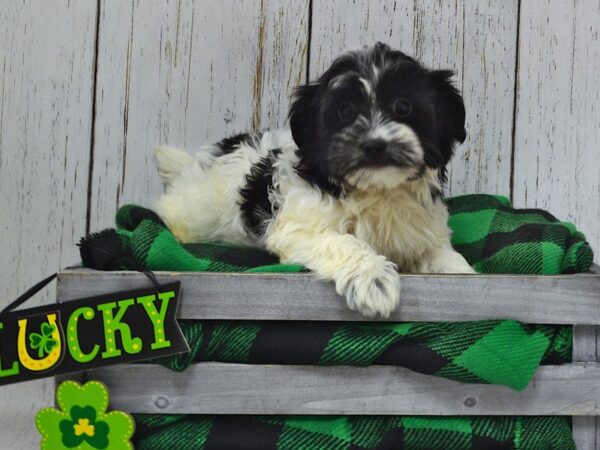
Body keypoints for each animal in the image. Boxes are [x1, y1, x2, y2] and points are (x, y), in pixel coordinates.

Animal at [154, 42, 474, 316]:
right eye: (345, 111)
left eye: (403, 107)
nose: (375, 144)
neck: (378, 190)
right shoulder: (298, 227)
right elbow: (343, 241)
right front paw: (374, 280)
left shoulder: (423, 231)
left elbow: (442, 256)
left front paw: (463, 273)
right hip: (193, 211)